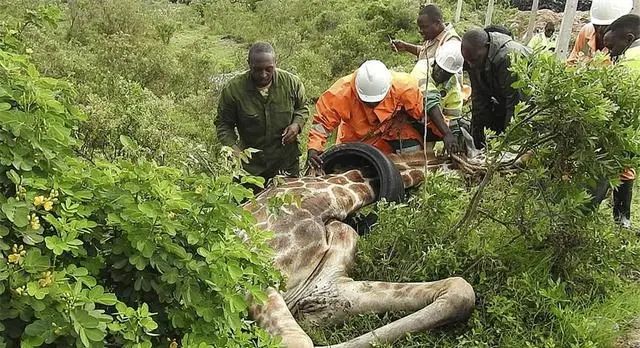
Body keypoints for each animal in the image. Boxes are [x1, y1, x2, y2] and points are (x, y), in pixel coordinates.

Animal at [240, 150, 500, 348]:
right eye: (482, 166)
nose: (523, 158)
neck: (340, 197)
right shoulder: (255, 272)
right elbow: (298, 340)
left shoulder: (324, 286)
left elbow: (460, 289)